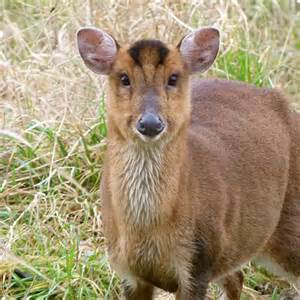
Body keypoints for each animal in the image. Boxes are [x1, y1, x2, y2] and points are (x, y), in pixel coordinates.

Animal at [77, 27, 300, 298]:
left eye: (173, 78)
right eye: (124, 78)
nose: (150, 123)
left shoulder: (198, 261)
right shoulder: (126, 269)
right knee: (237, 276)